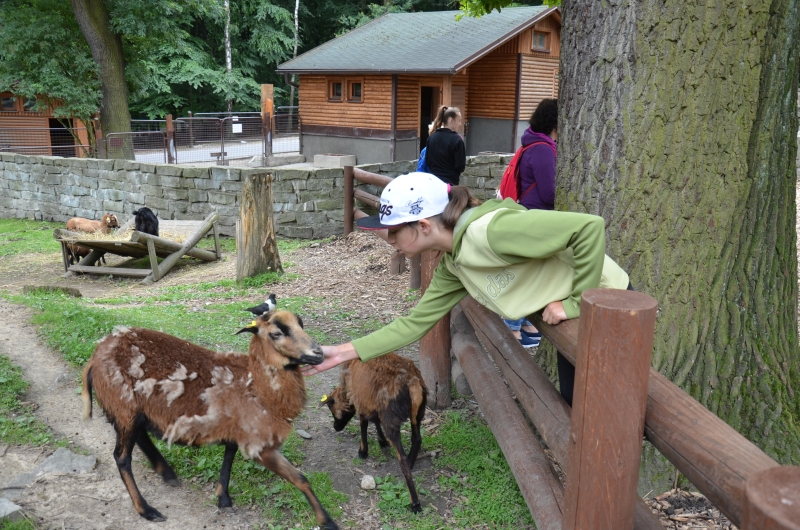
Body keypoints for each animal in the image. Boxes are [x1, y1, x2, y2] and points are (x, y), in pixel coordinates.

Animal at [81, 311, 338, 528]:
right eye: (276, 333)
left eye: (301, 323)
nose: (319, 353)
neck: (258, 386)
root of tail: (95, 356)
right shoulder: (259, 444)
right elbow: (300, 478)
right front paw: (327, 521)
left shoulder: (236, 427)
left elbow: (229, 455)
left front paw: (223, 498)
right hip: (124, 407)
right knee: (122, 457)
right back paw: (146, 509)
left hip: (133, 411)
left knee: (141, 438)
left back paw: (167, 473)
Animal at [323, 353, 427, 513]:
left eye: (331, 407)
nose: (336, 427)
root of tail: (412, 381)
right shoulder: (371, 402)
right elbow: (375, 421)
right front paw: (382, 442)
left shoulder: (360, 401)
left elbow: (364, 424)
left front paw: (363, 451)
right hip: (418, 412)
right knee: (417, 439)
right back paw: (410, 462)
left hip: (391, 418)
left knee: (402, 458)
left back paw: (415, 503)